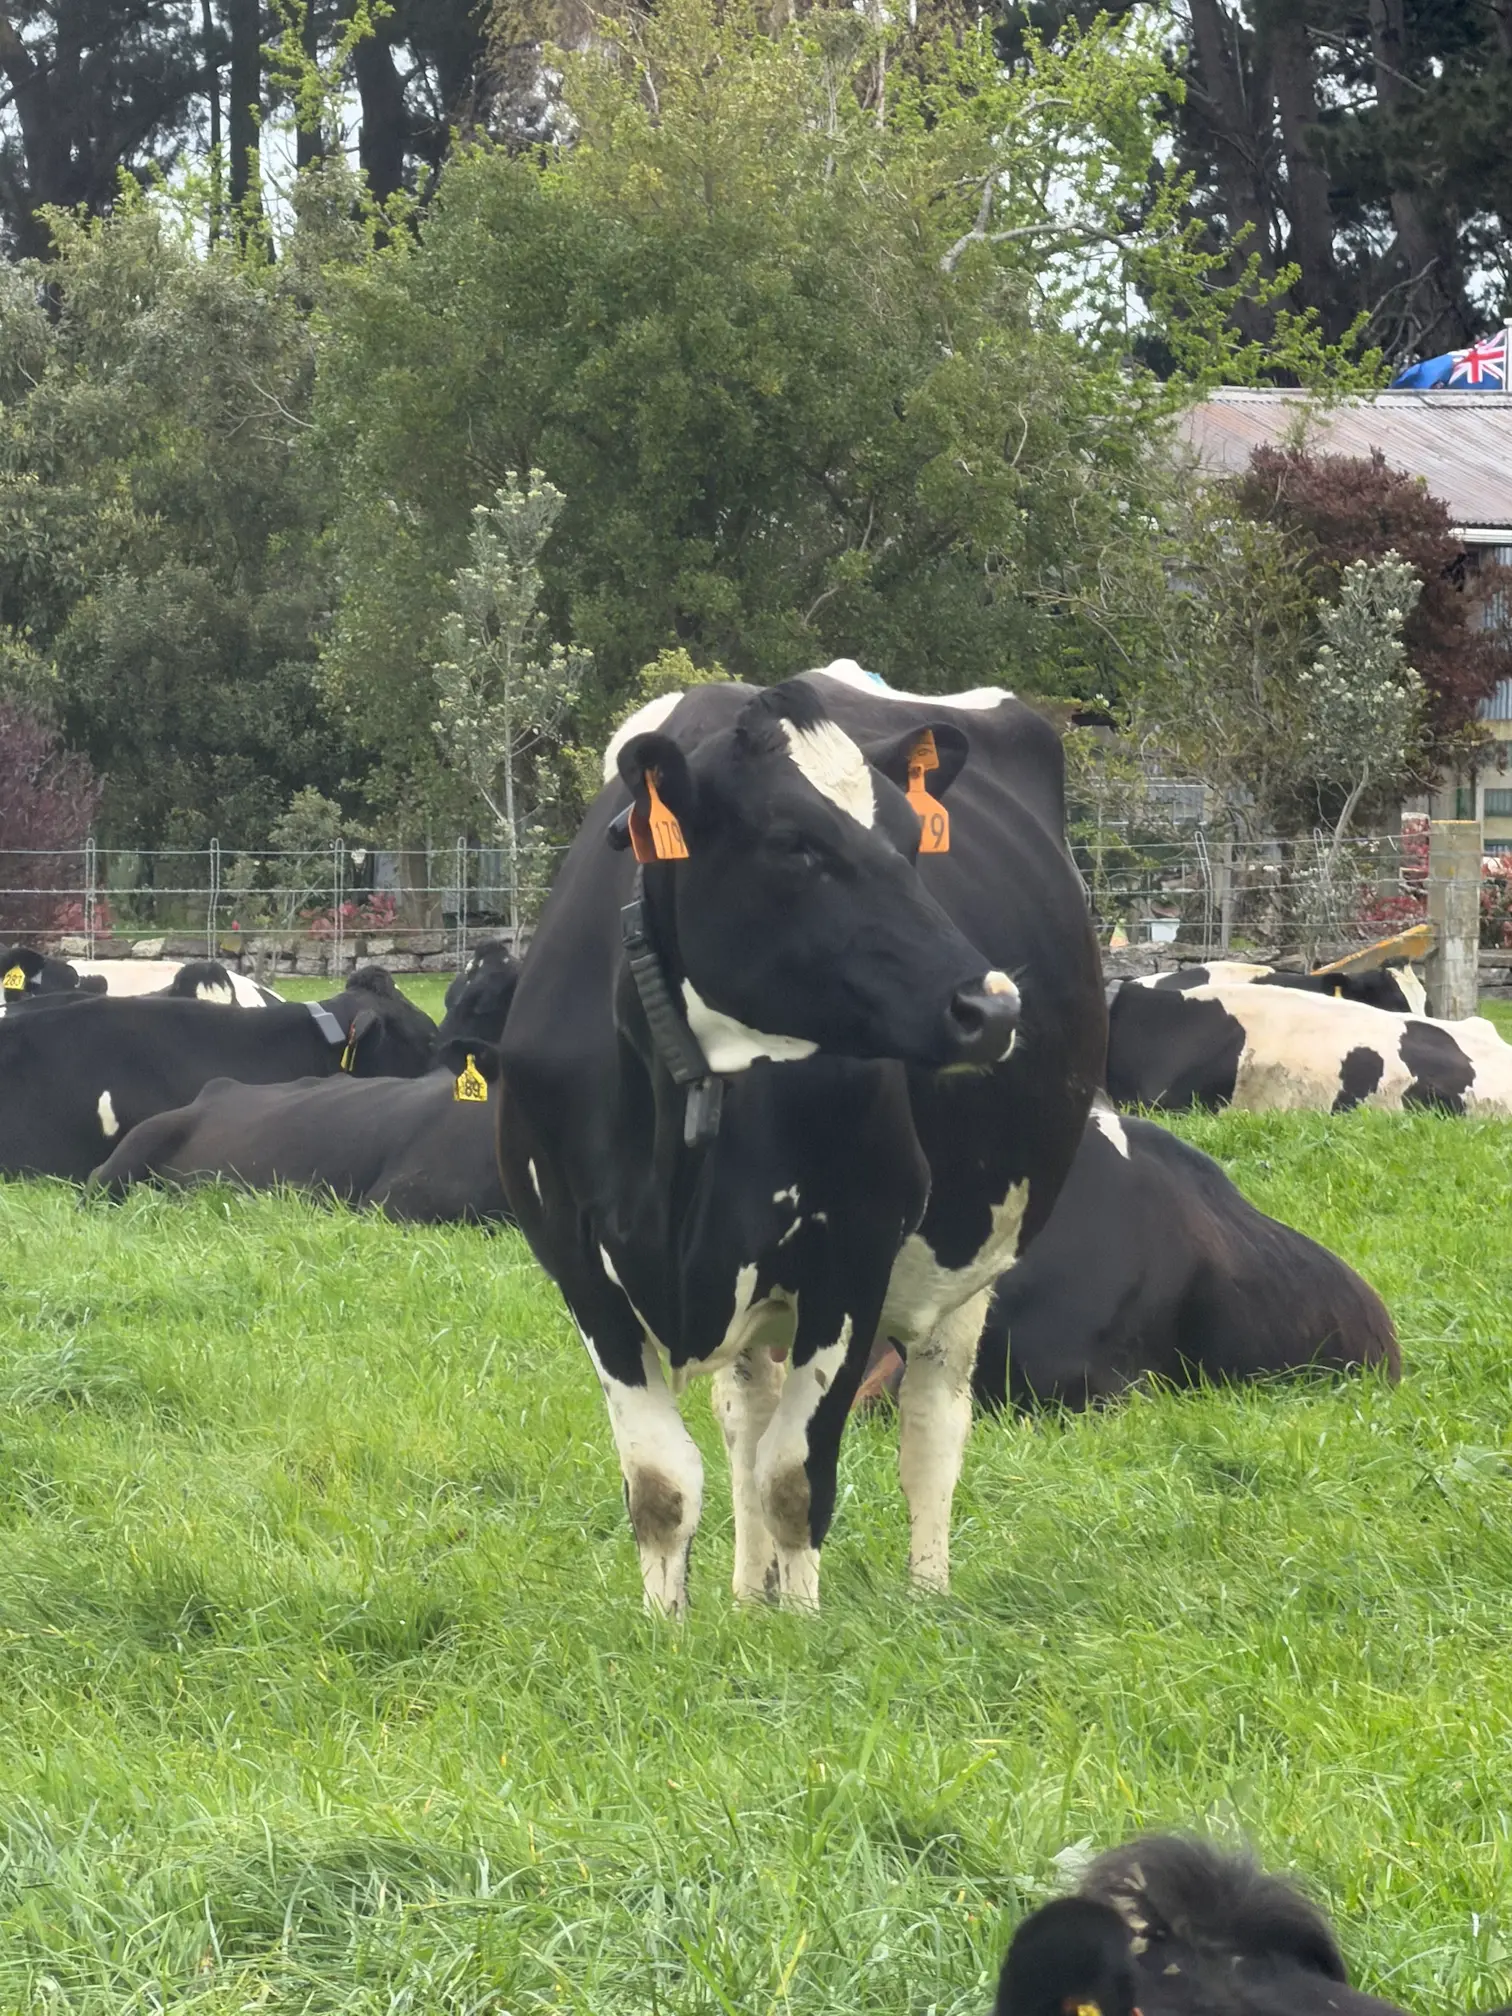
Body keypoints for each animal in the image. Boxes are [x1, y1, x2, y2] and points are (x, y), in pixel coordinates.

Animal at [496, 662, 1104, 1613]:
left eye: (915, 842)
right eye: (793, 845)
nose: (993, 1006)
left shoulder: (855, 1251)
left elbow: (795, 1477)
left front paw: (801, 1628)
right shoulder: (574, 1258)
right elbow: (662, 1484)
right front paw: (670, 1627)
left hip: (971, 1260)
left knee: (931, 1419)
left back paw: (923, 1594)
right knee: (747, 1415)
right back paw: (750, 1595)